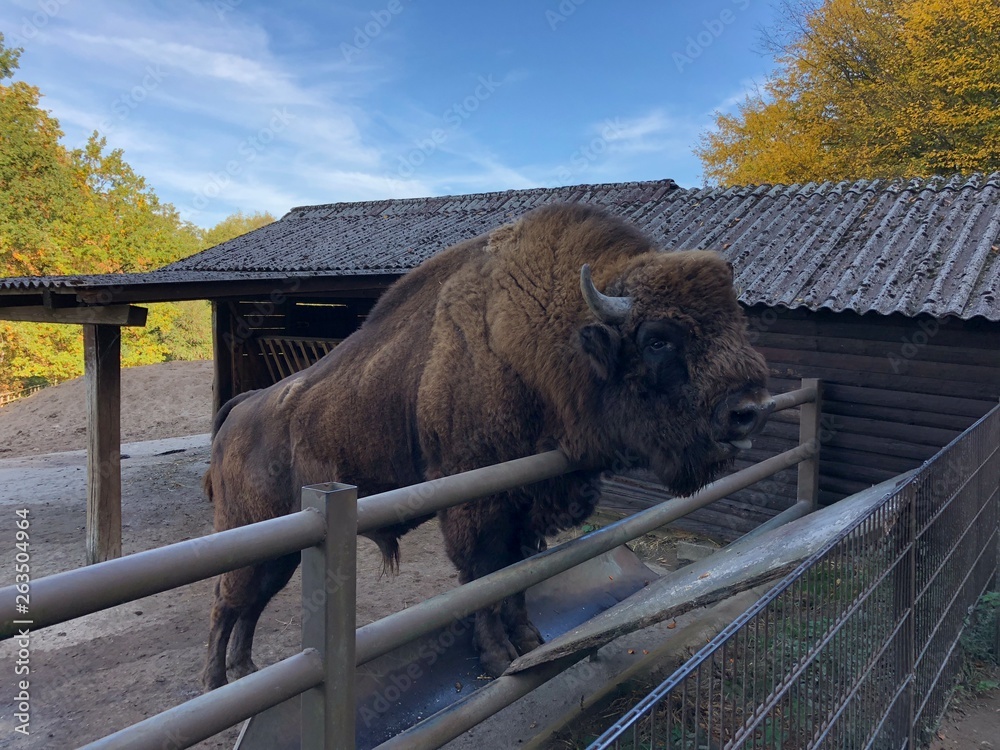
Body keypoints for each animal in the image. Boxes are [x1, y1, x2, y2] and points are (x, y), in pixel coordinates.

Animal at [201, 203, 771, 689]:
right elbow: (481, 574)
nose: (748, 409)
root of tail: (239, 412)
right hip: (246, 530)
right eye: (657, 338)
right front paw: (498, 656)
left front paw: (528, 639)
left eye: (737, 323)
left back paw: (244, 672)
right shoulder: (475, 504)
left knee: (250, 602)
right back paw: (215, 681)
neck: (540, 341)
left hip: (280, 547)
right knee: (227, 600)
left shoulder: (528, 506)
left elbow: (514, 573)